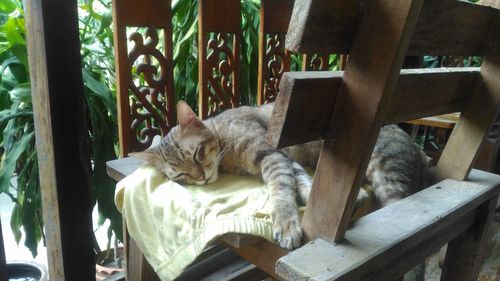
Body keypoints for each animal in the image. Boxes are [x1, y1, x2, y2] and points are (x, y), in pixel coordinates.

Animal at [131, 100, 432, 247]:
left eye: (196, 154)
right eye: (180, 177)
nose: (201, 177)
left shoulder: (273, 155)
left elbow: (282, 192)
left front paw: (286, 222)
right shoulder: (286, 160)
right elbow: (303, 182)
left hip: (387, 176)